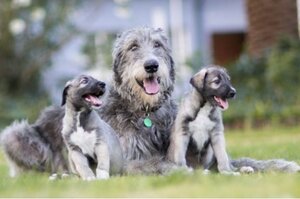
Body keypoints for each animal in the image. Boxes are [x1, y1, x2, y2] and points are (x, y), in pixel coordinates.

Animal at [166, 66, 300, 173]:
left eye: (228, 80)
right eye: (217, 81)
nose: (233, 92)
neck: (204, 108)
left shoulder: (217, 134)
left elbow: (222, 157)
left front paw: (227, 172)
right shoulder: (183, 132)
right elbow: (180, 156)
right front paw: (183, 170)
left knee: (226, 165)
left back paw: (244, 169)